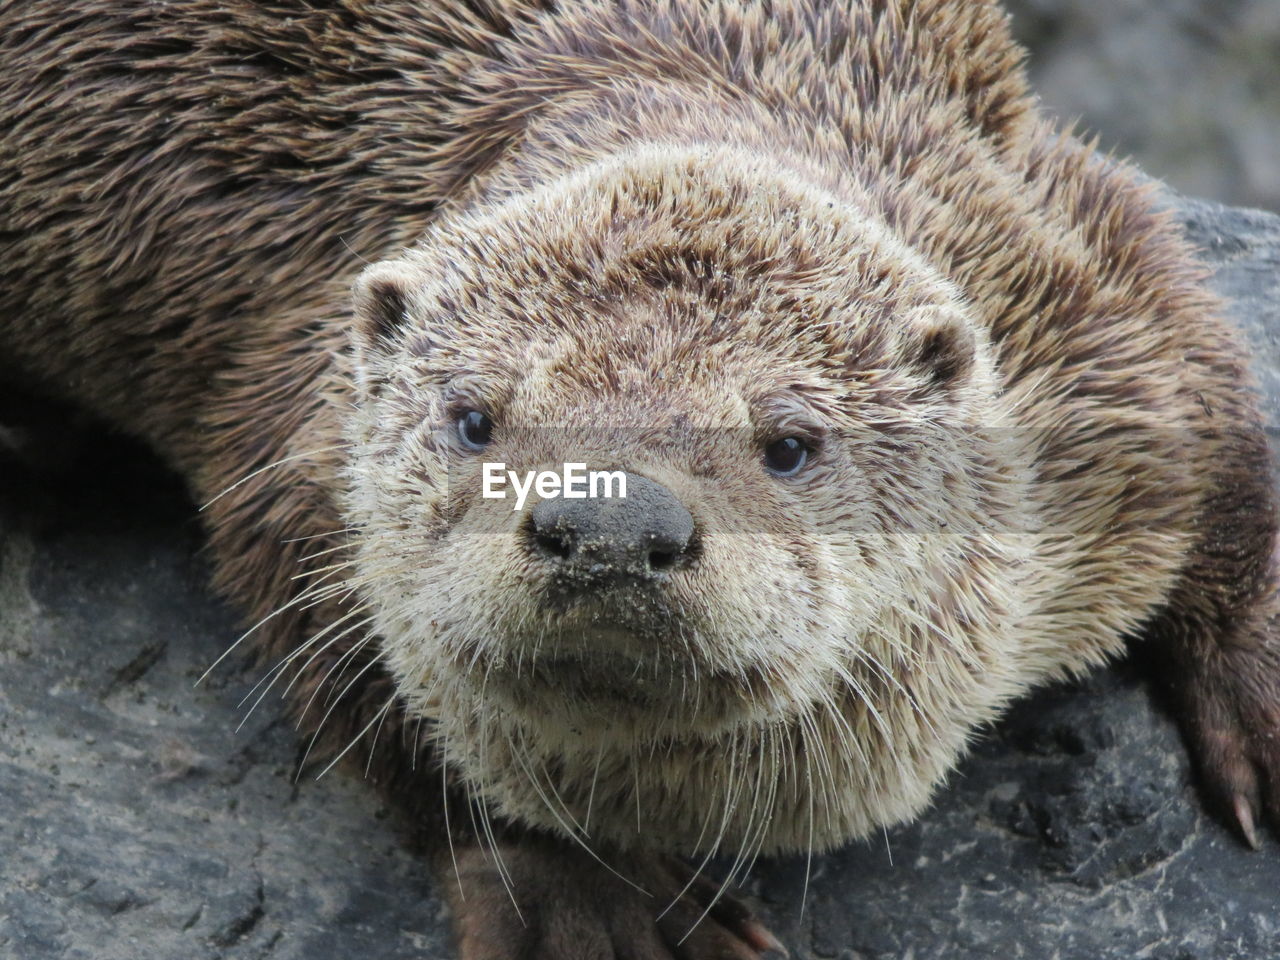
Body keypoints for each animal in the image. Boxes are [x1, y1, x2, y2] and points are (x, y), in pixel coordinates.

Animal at [2, 1, 1280, 960]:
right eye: (474, 418)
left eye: (786, 443)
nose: (608, 523)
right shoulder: (293, 422)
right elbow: (370, 687)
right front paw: (597, 902)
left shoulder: (1073, 300)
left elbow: (1213, 390)